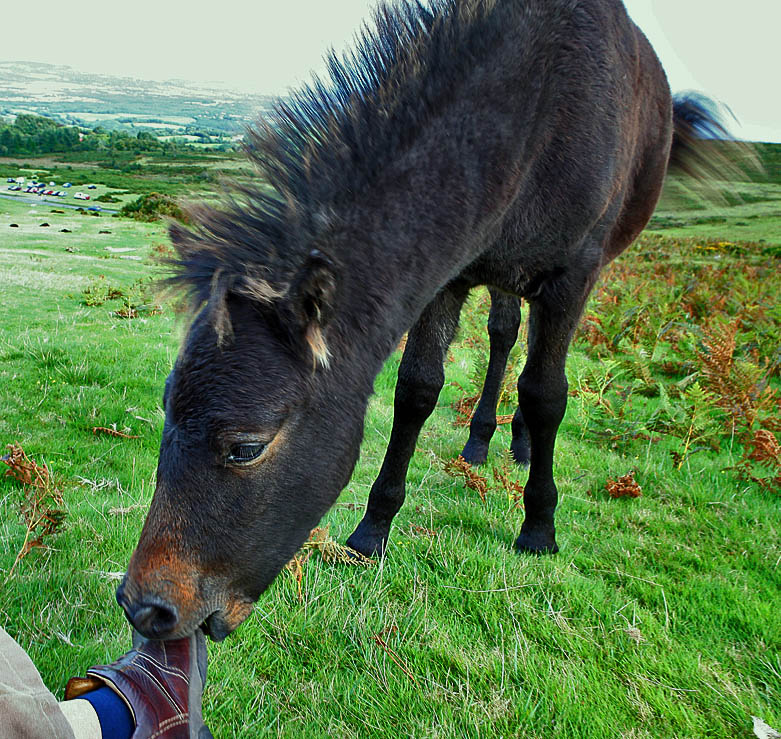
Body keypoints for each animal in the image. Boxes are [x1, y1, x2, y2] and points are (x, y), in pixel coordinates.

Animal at [116, 0, 736, 640]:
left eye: (245, 448)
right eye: (165, 410)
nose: (145, 607)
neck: (535, 112)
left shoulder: (573, 276)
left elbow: (546, 393)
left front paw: (539, 528)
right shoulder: (449, 275)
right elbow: (417, 389)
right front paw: (372, 532)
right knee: (503, 335)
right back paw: (486, 440)